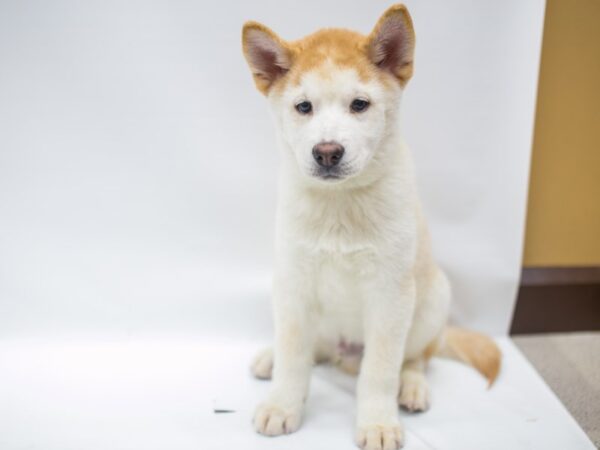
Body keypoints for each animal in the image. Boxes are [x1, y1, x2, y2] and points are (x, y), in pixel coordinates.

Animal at [241, 4, 500, 450]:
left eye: (359, 104)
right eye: (303, 107)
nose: (327, 152)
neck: (340, 205)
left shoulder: (389, 296)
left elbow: (379, 372)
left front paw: (377, 422)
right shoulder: (294, 281)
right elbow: (294, 357)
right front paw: (282, 404)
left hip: (431, 303)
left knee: (415, 359)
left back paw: (412, 388)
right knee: (310, 349)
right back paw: (270, 357)